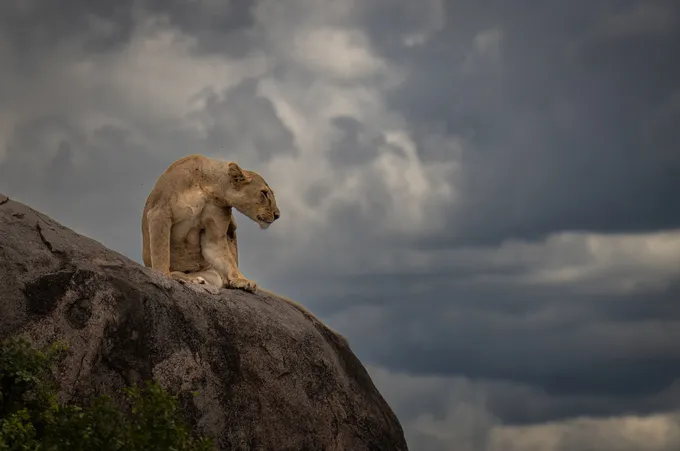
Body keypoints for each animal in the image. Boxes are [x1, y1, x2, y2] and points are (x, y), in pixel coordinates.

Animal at [141, 154, 280, 293]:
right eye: (264, 193)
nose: (277, 215)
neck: (208, 188)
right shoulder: (160, 212)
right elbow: (161, 252)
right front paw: (164, 276)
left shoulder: (214, 233)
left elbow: (226, 258)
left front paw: (242, 280)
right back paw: (191, 279)